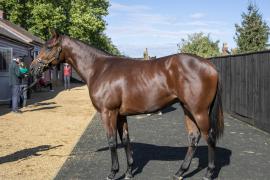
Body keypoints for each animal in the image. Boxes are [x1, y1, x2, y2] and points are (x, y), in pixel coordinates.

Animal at [30, 31, 224, 180]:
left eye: (49, 47)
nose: (32, 68)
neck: (99, 69)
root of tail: (209, 65)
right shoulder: (120, 114)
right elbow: (125, 140)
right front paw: (129, 171)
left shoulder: (108, 113)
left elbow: (112, 141)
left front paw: (113, 173)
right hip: (187, 109)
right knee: (193, 137)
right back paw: (180, 172)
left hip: (199, 111)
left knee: (209, 137)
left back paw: (208, 173)